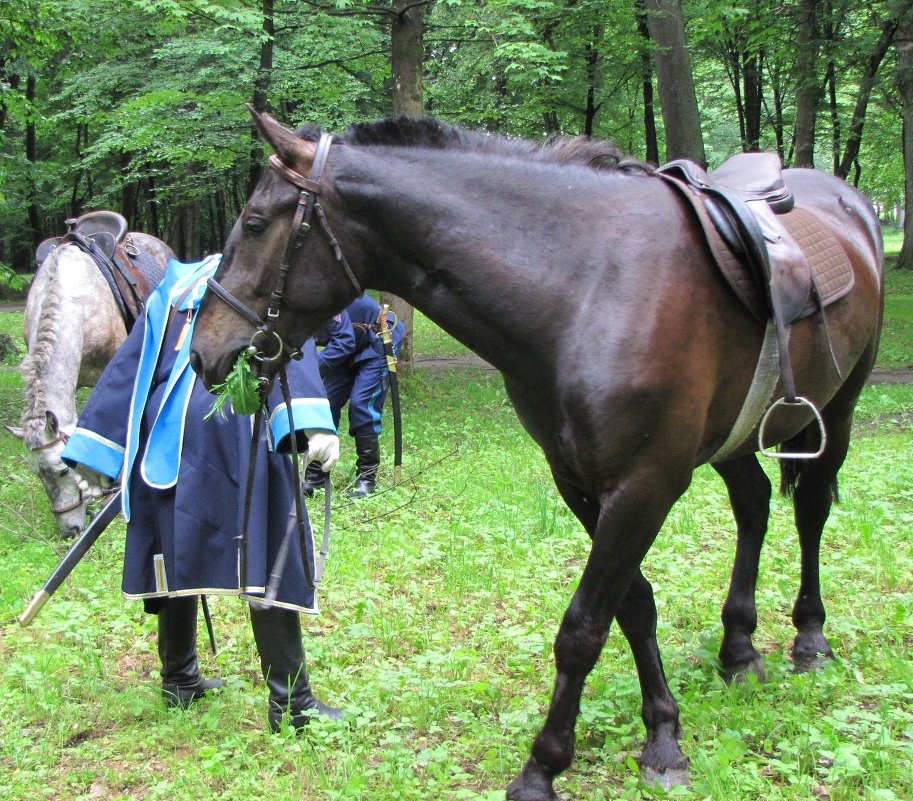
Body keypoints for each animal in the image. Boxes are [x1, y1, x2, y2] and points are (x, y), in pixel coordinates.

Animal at [191, 109, 884, 796]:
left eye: (255, 223)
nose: (203, 352)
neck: (587, 288)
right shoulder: (578, 480)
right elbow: (633, 606)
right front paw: (662, 729)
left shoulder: (645, 486)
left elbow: (583, 628)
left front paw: (546, 766)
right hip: (732, 436)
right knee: (755, 505)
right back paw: (739, 648)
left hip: (837, 411)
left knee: (811, 510)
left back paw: (810, 638)